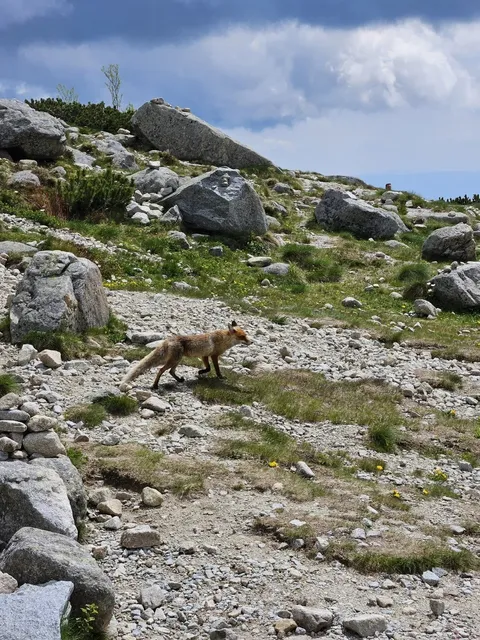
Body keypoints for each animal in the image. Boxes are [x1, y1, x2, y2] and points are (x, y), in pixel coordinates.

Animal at [119, 320, 252, 391]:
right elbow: (216, 369)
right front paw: (220, 377)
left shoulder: (204, 356)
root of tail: (167, 340)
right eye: (242, 336)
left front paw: (200, 372)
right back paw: (155, 385)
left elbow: (208, 368)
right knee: (161, 370)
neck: (223, 339)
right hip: (174, 360)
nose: (251, 342)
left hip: (177, 360)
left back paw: (179, 380)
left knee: (171, 372)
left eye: (246, 335)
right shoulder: (214, 355)